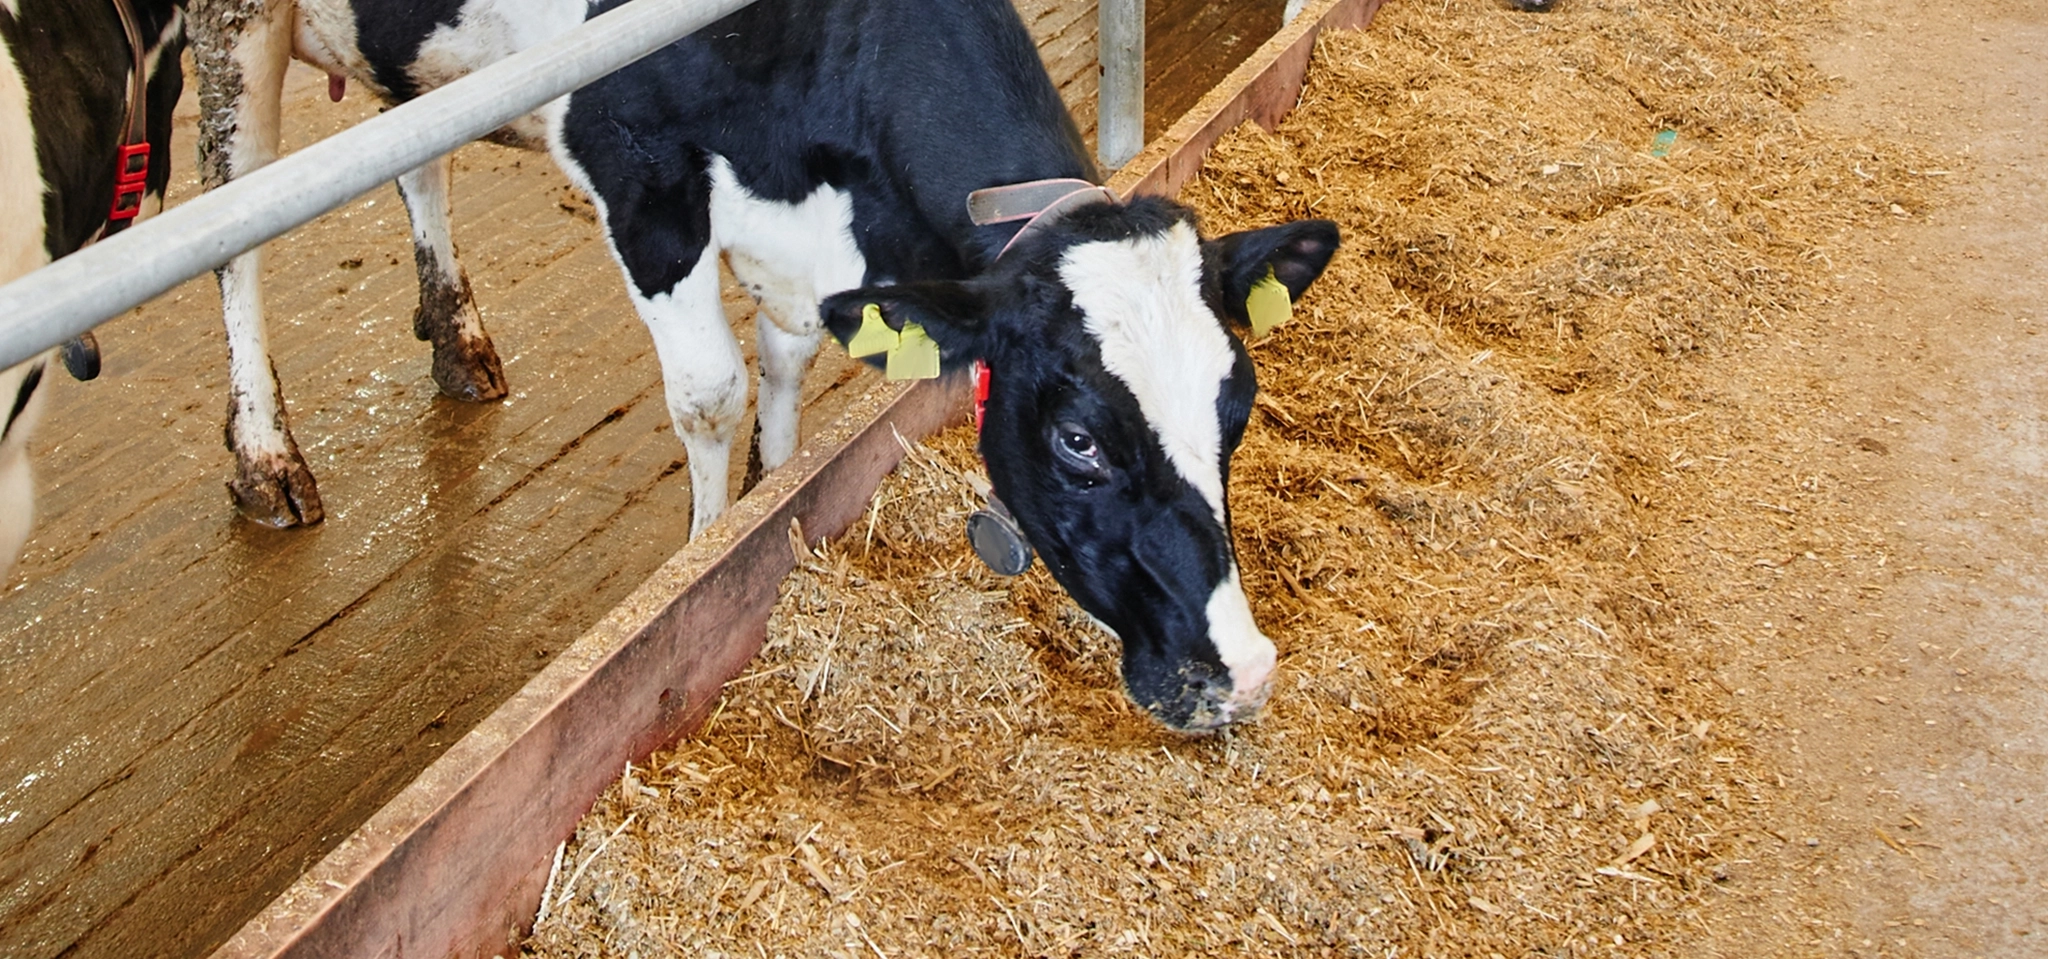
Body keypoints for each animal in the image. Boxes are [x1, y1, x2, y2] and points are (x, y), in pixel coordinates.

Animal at [194, 0, 1338, 731]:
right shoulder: (640, 172)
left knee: (413, 155)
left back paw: (458, 335)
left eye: (1237, 409)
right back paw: (265, 456)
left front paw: (766, 492)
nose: (1244, 675)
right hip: (229, 33)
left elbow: (784, 365)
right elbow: (712, 392)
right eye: (1078, 438)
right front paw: (698, 558)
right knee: (231, 229)